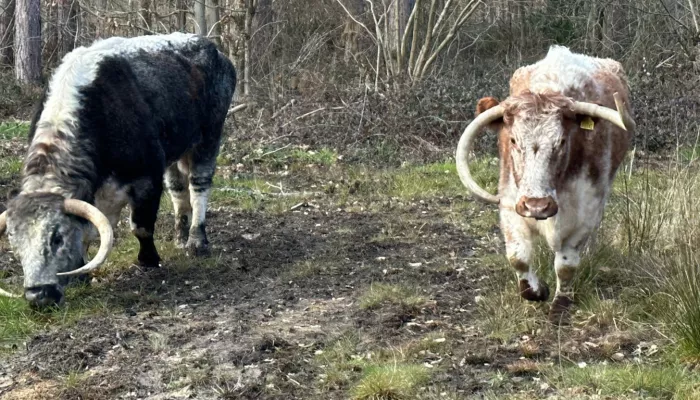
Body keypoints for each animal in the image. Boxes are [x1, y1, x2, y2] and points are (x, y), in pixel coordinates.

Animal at [0, 33, 236, 307]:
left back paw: (196, 242)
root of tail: (212, 48)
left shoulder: (147, 178)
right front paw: (82, 274)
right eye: (14, 242)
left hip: (209, 137)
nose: (37, 295)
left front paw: (149, 260)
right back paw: (179, 238)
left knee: (199, 186)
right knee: (178, 190)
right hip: (174, 151)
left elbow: (140, 226)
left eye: (57, 237)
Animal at [455, 46, 635, 323]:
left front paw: (561, 304)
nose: (537, 206)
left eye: (561, 141)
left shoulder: (586, 213)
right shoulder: (511, 206)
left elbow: (566, 264)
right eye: (513, 140)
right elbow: (518, 258)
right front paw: (539, 290)